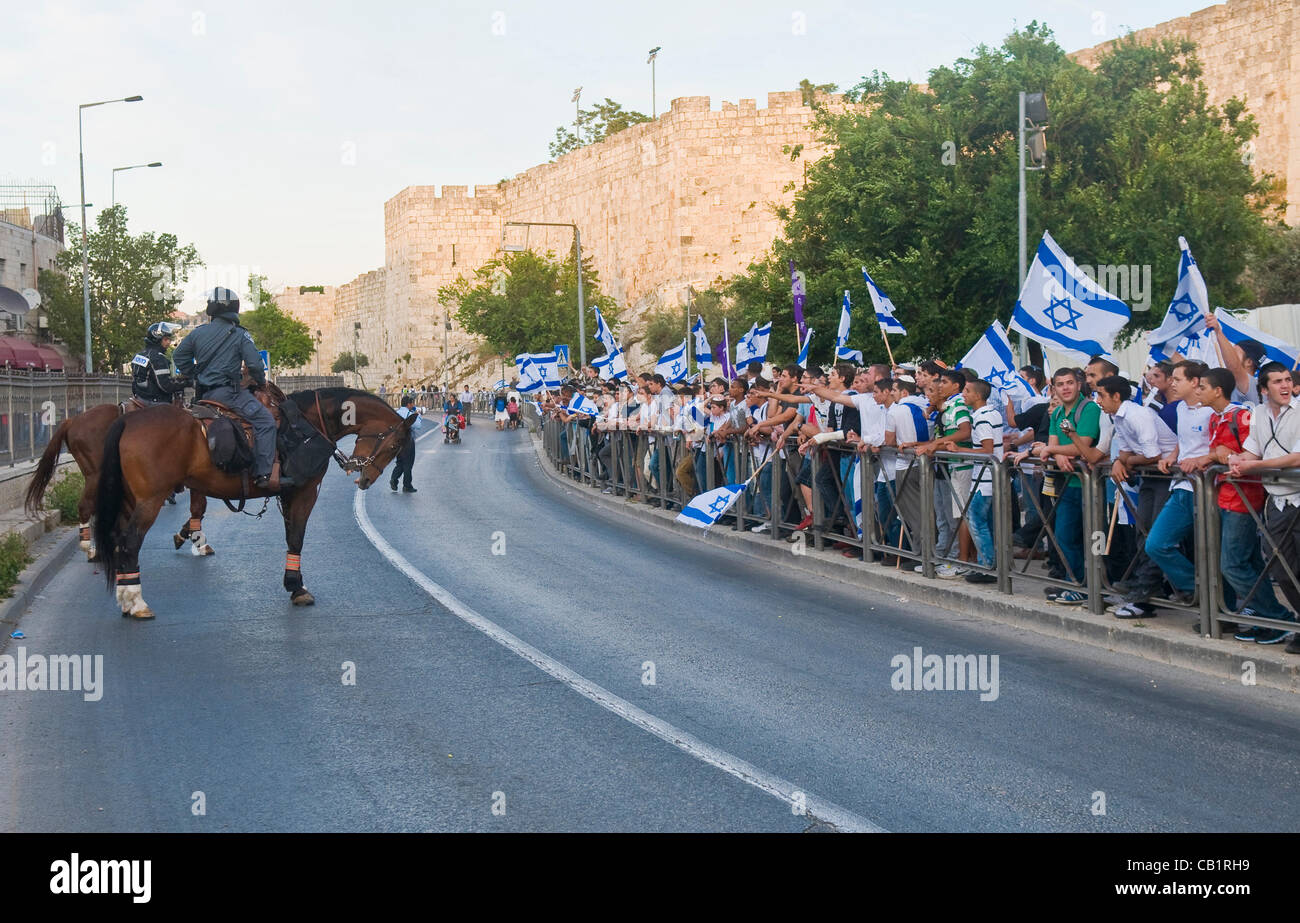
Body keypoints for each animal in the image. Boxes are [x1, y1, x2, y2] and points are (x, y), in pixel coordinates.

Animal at [24, 403, 215, 556]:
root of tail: (73, 420)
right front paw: (196, 540)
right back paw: (91, 549)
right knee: (86, 506)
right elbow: (198, 508)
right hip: (96, 475)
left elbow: (199, 508)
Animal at [92, 387, 410, 618]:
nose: (366, 478)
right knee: (130, 542)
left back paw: (125, 594)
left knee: (119, 538)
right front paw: (296, 587)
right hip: (149, 501)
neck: (307, 423)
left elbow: (290, 536)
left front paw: (295, 582)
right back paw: (136, 601)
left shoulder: (288, 495)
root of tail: (128, 419)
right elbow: (297, 537)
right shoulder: (305, 493)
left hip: (130, 501)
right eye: (395, 445)